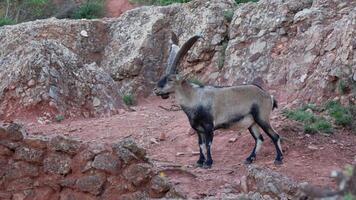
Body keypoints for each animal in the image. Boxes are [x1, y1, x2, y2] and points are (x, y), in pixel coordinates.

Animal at [154, 32, 284, 169]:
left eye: (170, 79)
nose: (156, 90)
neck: (194, 98)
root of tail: (268, 96)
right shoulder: (198, 129)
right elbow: (200, 144)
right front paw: (200, 161)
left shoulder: (208, 126)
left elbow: (208, 144)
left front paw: (208, 163)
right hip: (252, 123)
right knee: (259, 139)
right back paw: (249, 159)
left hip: (262, 118)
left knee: (275, 136)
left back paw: (278, 159)